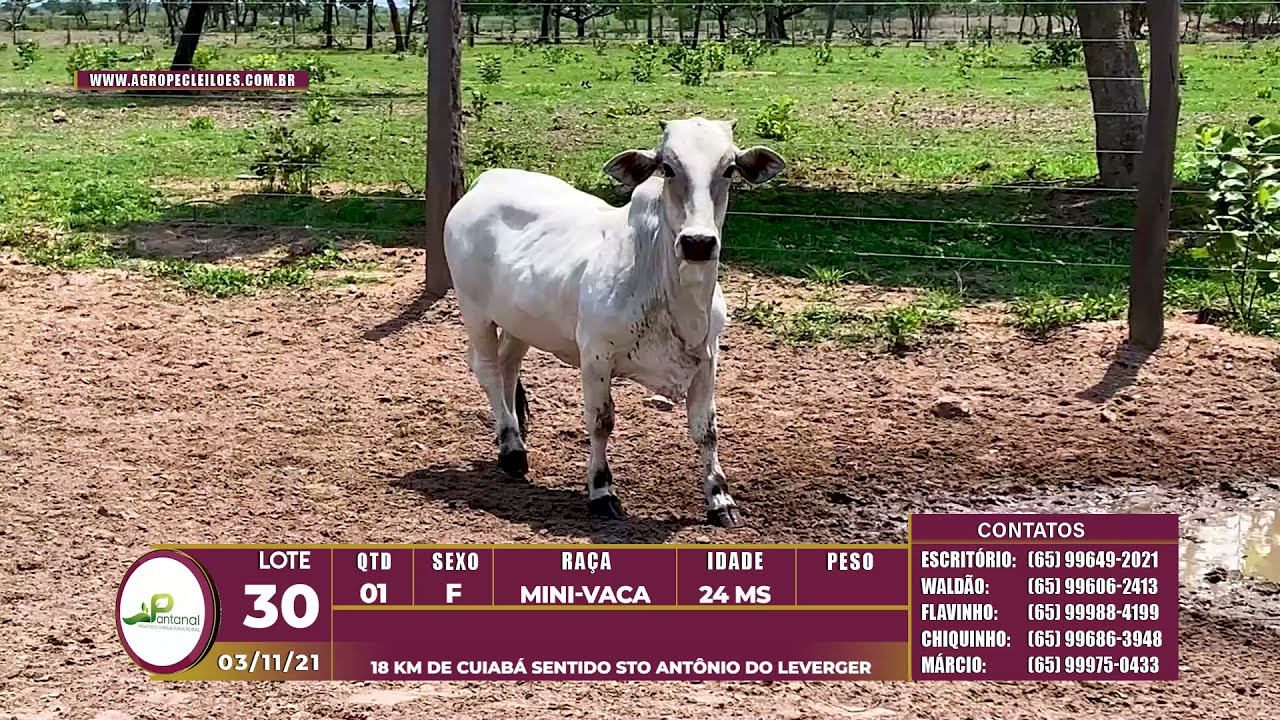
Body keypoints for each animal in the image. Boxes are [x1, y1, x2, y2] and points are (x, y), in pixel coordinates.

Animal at [442, 117, 785, 528]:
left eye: (729, 169)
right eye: (667, 168)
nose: (698, 242)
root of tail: (486, 180)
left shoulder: (708, 358)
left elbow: (707, 430)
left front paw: (720, 499)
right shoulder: (595, 357)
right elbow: (601, 422)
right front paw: (602, 492)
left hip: (518, 320)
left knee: (508, 367)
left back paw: (514, 437)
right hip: (474, 310)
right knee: (489, 370)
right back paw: (512, 450)